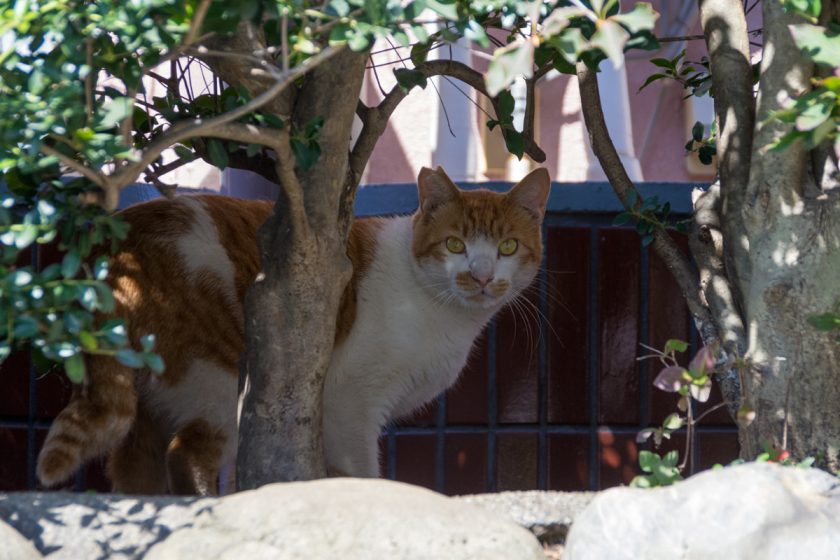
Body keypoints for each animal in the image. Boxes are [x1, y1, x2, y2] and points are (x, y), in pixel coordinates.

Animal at [36, 166, 552, 494]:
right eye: (455, 245)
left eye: (507, 247)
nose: (482, 276)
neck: (443, 313)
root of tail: (113, 242)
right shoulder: (351, 405)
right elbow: (361, 473)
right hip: (223, 379)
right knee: (186, 453)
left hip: (152, 403)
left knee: (133, 471)